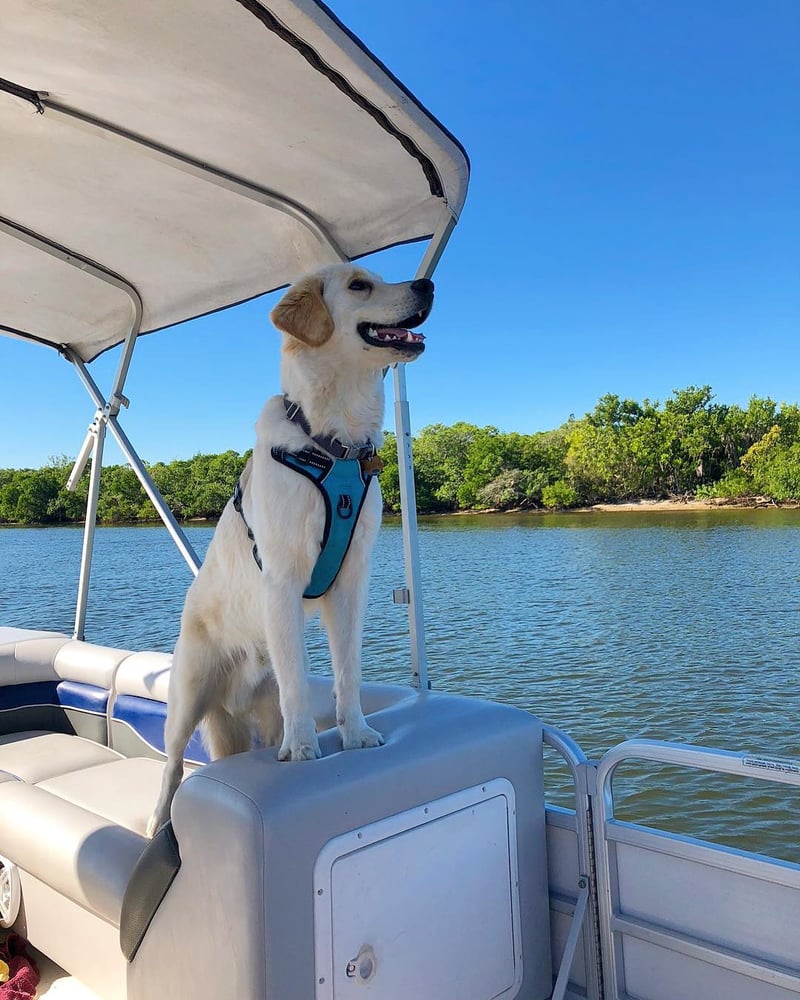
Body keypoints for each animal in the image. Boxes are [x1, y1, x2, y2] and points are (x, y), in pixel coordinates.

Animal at [148, 262, 438, 832]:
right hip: (187, 693)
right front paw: (304, 749)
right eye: (359, 286)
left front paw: (356, 734)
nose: (427, 286)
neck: (336, 445)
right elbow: (299, 682)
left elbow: (348, 671)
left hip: (256, 711)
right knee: (170, 768)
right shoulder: (282, 581)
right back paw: (158, 820)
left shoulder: (351, 584)